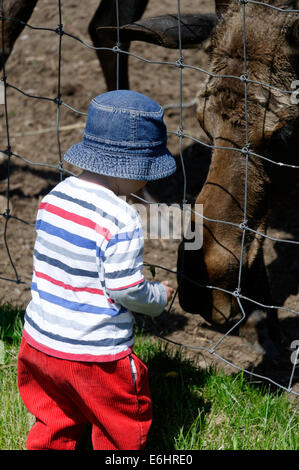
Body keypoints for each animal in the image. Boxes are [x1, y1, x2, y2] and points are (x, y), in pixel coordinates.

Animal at [1, 0, 298, 352]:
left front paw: (259, 315)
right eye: (202, 121)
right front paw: (259, 318)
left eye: (284, 133)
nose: (199, 289)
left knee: (106, 26)